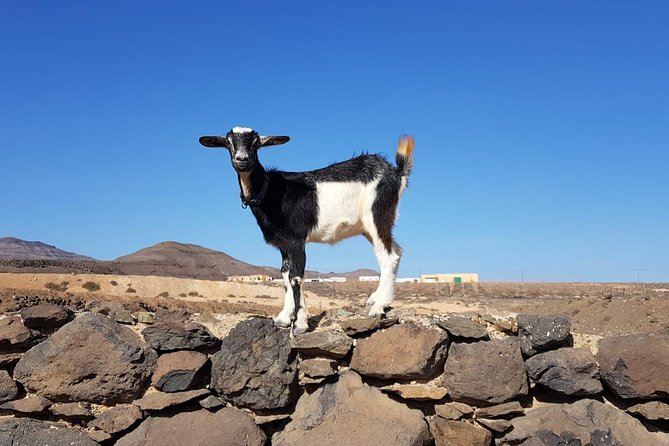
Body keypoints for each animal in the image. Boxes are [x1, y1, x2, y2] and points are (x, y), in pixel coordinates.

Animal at [200, 127, 414, 335]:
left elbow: (296, 277)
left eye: (256, 143)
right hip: (368, 226)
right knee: (396, 251)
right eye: (228, 142)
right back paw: (376, 299)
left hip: (377, 214)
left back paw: (379, 307)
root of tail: (396, 172)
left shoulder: (296, 240)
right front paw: (285, 317)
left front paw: (300, 323)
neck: (271, 191)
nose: (242, 160)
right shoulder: (283, 244)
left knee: (388, 256)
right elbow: (285, 274)